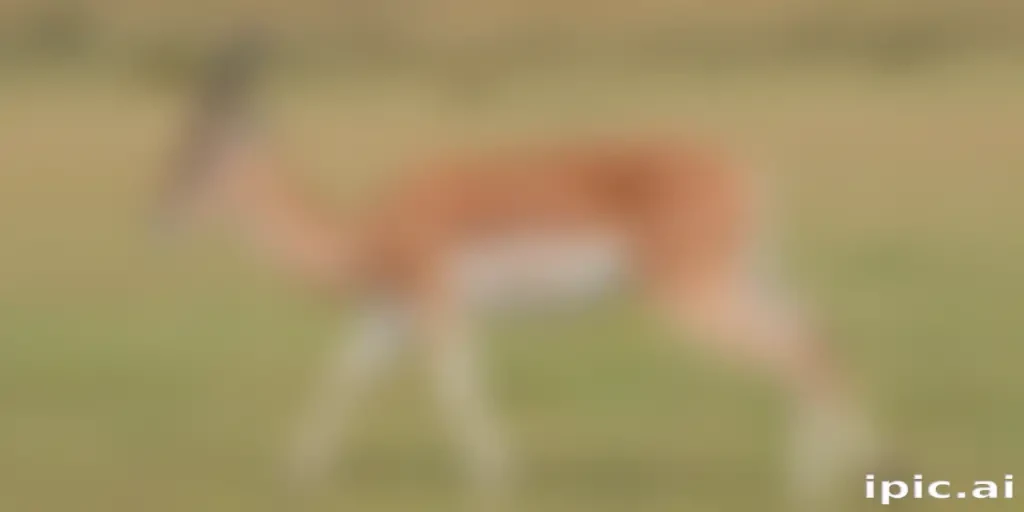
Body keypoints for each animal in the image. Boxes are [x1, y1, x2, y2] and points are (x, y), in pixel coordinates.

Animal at [157, 36, 878, 505]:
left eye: (197, 153)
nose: (155, 216)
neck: (372, 230)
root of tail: (746, 172)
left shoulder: (438, 303)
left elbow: (456, 386)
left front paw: (496, 478)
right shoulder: (389, 313)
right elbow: (345, 375)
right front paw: (295, 475)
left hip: (692, 293)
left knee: (797, 350)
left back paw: (808, 484)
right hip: (749, 278)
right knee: (821, 333)